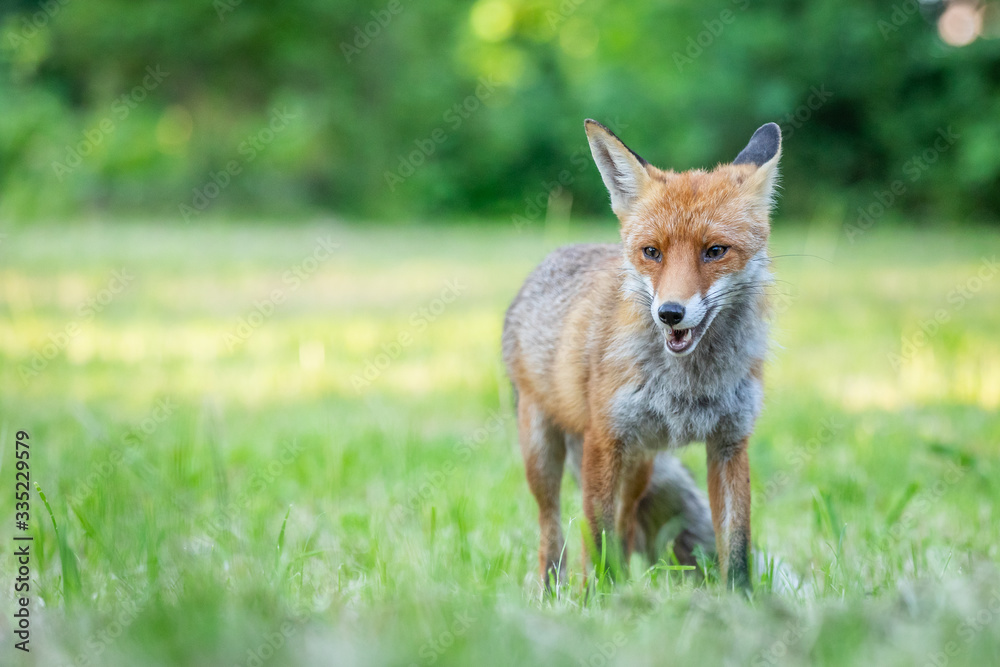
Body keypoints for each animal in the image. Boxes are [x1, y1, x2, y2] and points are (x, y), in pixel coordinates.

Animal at [502, 120, 782, 591]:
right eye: (652, 252)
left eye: (715, 251)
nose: (670, 313)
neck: (689, 385)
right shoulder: (604, 439)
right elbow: (595, 537)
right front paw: (596, 599)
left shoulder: (730, 442)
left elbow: (737, 547)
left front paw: (741, 603)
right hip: (543, 452)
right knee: (553, 530)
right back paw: (553, 589)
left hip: (640, 466)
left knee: (627, 524)